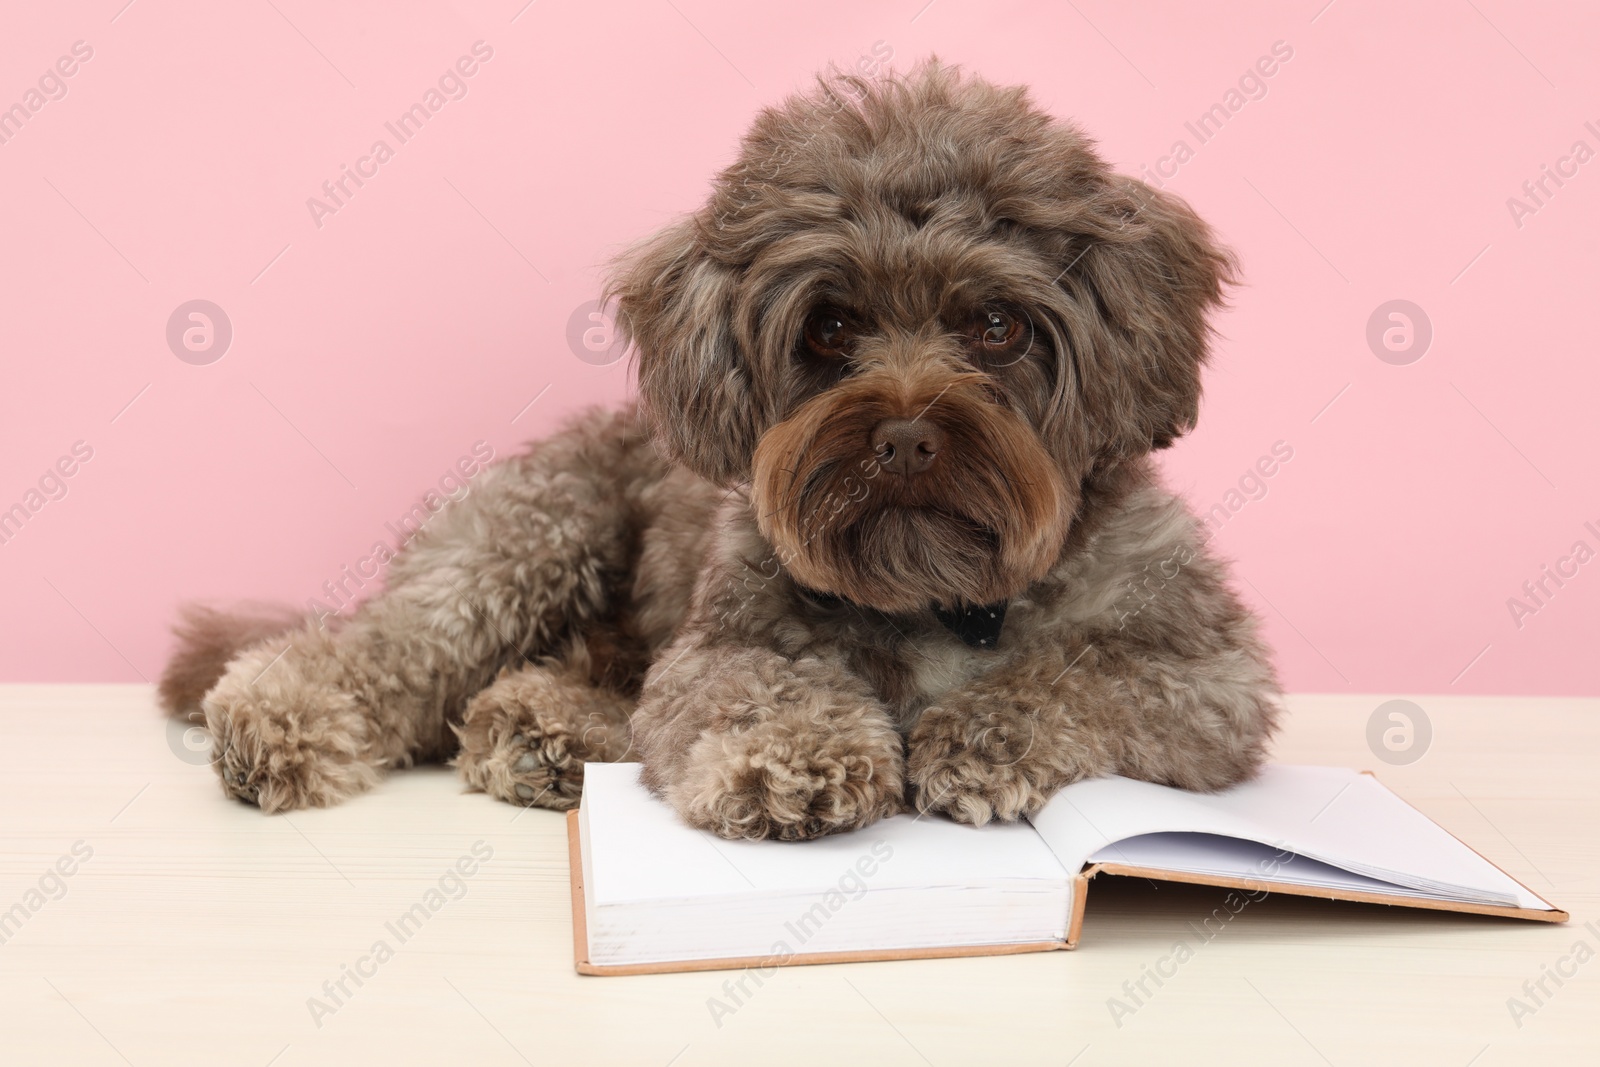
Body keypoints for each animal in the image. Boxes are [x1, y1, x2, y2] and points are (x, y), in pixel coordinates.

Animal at [162, 60, 1280, 844]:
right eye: (830, 325)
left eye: (998, 325)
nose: (905, 435)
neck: (942, 596)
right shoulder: (726, 639)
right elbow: (758, 687)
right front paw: (796, 756)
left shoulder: (1210, 676)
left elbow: (1081, 673)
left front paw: (978, 733)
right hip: (533, 535)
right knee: (397, 644)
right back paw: (281, 717)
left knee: (556, 688)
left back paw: (539, 731)